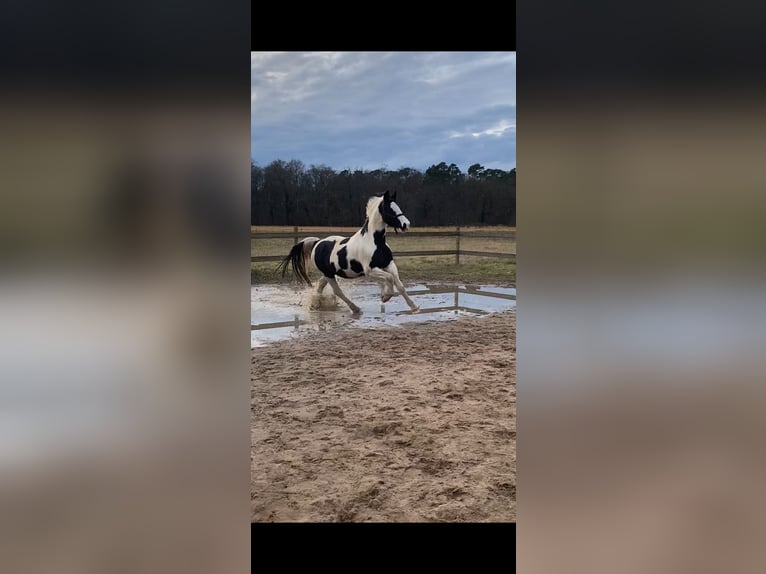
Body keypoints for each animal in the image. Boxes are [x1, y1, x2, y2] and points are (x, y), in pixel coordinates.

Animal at [276, 190, 420, 315]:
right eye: (390, 209)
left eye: (397, 206)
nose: (406, 224)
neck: (375, 242)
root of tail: (318, 242)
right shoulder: (370, 270)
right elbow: (389, 279)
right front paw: (385, 296)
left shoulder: (389, 265)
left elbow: (399, 285)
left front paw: (414, 307)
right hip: (329, 274)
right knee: (338, 291)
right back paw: (355, 309)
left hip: (328, 274)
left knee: (320, 287)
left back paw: (315, 305)